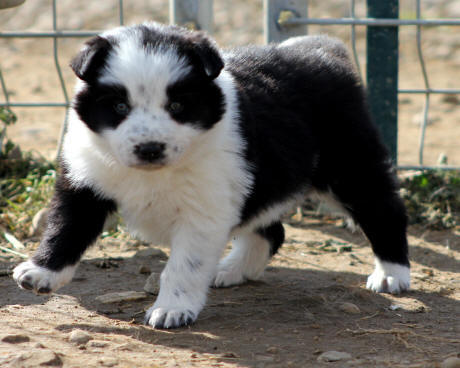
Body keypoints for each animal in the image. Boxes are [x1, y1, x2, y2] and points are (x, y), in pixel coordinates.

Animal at [13, 22, 410, 328]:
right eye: (119, 106)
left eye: (177, 105)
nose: (150, 148)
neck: (153, 172)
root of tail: (324, 50)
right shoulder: (86, 180)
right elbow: (66, 228)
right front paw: (41, 273)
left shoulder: (202, 211)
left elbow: (183, 266)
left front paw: (171, 309)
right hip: (264, 178)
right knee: (271, 229)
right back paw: (232, 270)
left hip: (349, 167)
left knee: (383, 210)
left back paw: (392, 274)